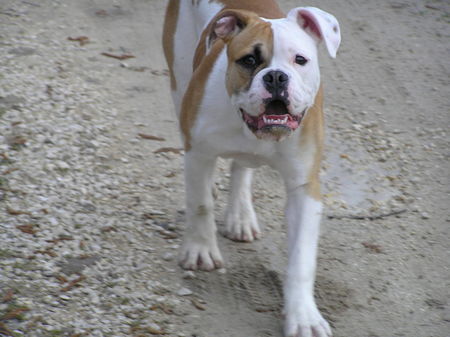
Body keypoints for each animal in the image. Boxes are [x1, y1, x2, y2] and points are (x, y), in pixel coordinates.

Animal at [163, 1, 340, 334]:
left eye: (300, 60)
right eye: (249, 60)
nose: (276, 77)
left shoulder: (304, 187)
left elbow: (302, 259)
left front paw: (304, 316)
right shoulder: (199, 153)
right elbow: (200, 204)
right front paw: (200, 250)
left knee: (242, 169)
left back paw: (240, 216)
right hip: (179, 83)